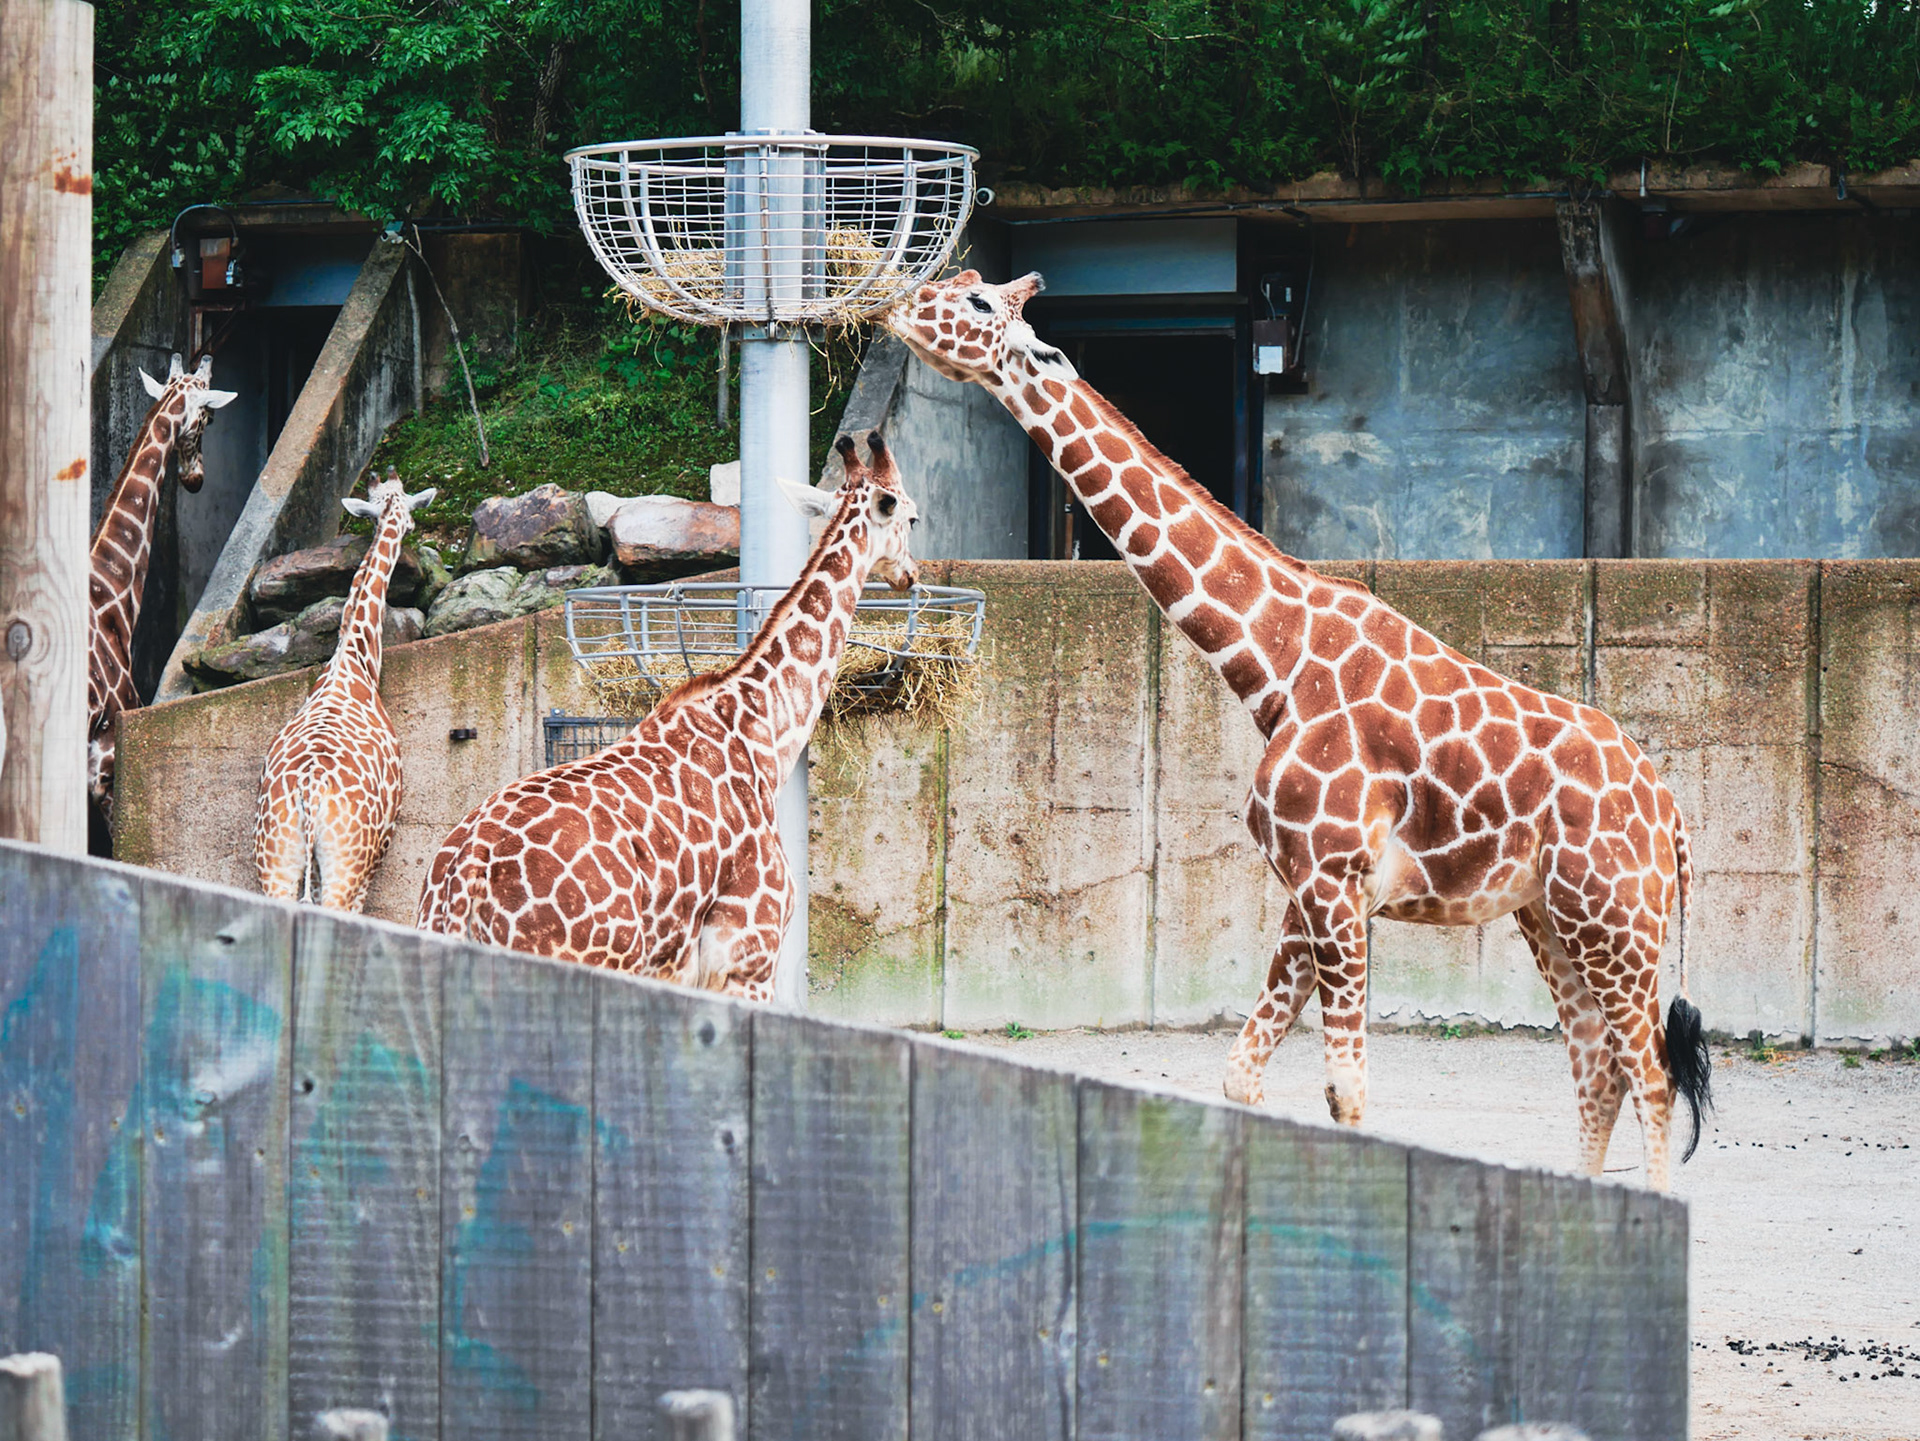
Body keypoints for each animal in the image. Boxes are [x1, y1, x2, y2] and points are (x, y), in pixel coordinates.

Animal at [253, 469, 436, 911]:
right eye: (410, 516)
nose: (412, 530)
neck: (355, 660)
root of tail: (310, 792)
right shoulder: (373, 857)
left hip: (276, 860)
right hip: (348, 863)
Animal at [889, 272, 1713, 1190]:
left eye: (975, 304)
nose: (894, 306)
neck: (1277, 667)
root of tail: (1672, 814)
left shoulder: (1334, 879)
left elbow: (1344, 1090)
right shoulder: (1306, 887)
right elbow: (1240, 1074)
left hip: (1615, 919)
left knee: (1650, 1071)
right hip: (1552, 916)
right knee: (1597, 1065)